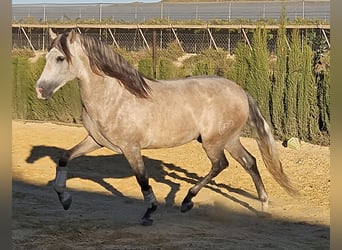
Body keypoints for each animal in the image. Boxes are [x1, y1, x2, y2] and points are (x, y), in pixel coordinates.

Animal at [35, 28, 296, 226]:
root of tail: (240, 91)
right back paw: (263, 204)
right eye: (47, 58)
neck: (114, 96)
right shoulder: (95, 140)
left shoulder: (131, 148)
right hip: (229, 140)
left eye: (60, 58)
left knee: (220, 165)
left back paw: (187, 201)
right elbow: (64, 158)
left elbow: (142, 179)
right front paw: (65, 199)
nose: (40, 90)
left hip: (213, 142)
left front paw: (149, 212)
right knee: (249, 162)